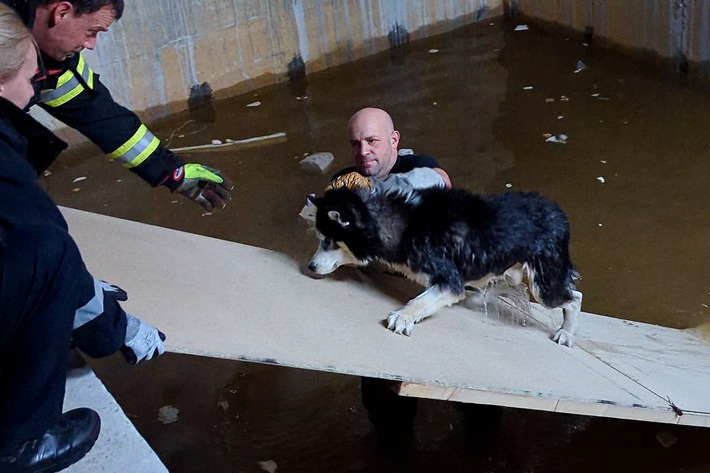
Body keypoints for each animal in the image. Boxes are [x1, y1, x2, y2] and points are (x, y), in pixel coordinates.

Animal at [308, 186, 584, 344]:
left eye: (329, 241)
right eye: (320, 238)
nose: (310, 266)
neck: (404, 223)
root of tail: (560, 214)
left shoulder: (449, 282)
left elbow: (421, 300)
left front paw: (403, 316)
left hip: (543, 285)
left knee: (574, 298)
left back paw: (566, 333)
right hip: (515, 272)